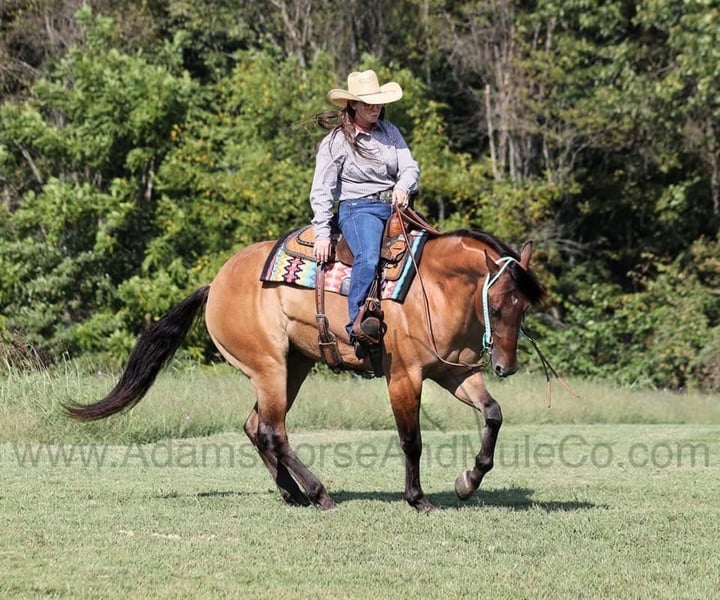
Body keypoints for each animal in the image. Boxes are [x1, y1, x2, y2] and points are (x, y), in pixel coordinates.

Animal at [67, 227, 545, 511]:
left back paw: (292, 492)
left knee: (255, 428)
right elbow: (412, 441)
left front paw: (468, 480)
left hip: (292, 368)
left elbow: (493, 414)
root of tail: (215, 284)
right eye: (497, 303)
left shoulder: (455, 372)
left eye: (523, 306)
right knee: (273, 431)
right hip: (270, 368)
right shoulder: (404, 378)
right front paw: (417, 499)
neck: (432, 288)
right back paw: (318, 493)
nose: (505, 365)